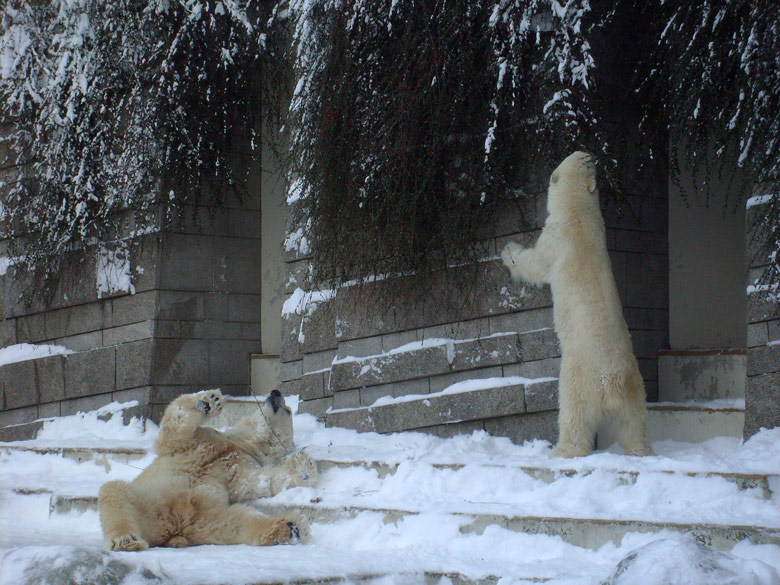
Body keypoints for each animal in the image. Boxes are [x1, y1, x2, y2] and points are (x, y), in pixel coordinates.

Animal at [98, 390, 316, 548]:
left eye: (288, 410)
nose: (276, 392)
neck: (241, 444)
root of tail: (176, 527)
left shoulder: (242, 464)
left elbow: (256, 482)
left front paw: (305, 468)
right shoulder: (205, 441)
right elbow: (174, 431)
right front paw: (209, 401)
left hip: (200, 517)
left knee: (239, 520)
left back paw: (291, 527)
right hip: (152, 502)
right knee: (115, 491)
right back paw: (125, 539)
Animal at [502, 153, 648, 458]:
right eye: (588, 159)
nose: (590, 153)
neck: (579, 214)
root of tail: (610, 380)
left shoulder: (555, 240)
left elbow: (534, 263)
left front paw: (508, 251)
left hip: (578, 379)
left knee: (574, 416)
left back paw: (562, 450)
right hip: (633, 384)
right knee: (634, 421)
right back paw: (640, 450)